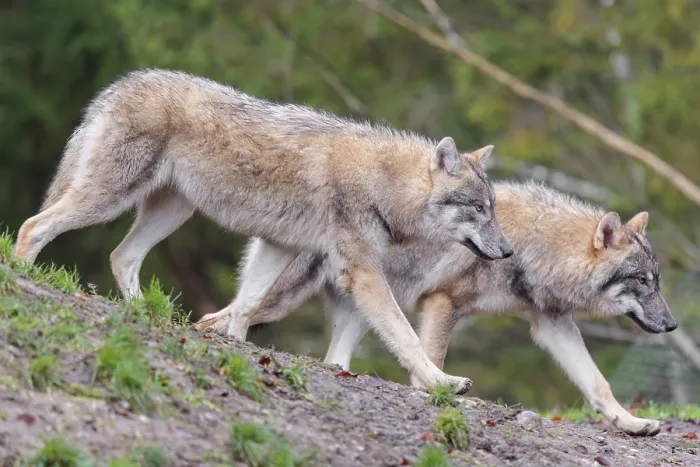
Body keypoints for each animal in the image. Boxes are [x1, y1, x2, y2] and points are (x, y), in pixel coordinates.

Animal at [14, 68, 513, 393]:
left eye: (492, 210)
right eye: (479, 210)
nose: (508, 252)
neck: (383, 183)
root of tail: (123, 82)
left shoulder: (277, 245)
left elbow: (244, 305)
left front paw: (234, 346)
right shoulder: (363, 273)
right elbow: (405, 337)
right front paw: (443, 382)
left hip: (169, 213)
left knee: (121, 256)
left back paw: (145, 313)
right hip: (109, 200)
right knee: (32, 226)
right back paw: (21, 277)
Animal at [197, 181, 677, 436]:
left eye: (657, 281)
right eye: (641, 282)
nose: (672, 325)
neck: (531, 248)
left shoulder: (553, 325)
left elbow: (598, 384)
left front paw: (632, 424)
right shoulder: (443, 303)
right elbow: (432, 361)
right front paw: (442, 394)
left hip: (361, 313)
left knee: (334, 359)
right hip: (284, 302)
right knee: (215, 318)